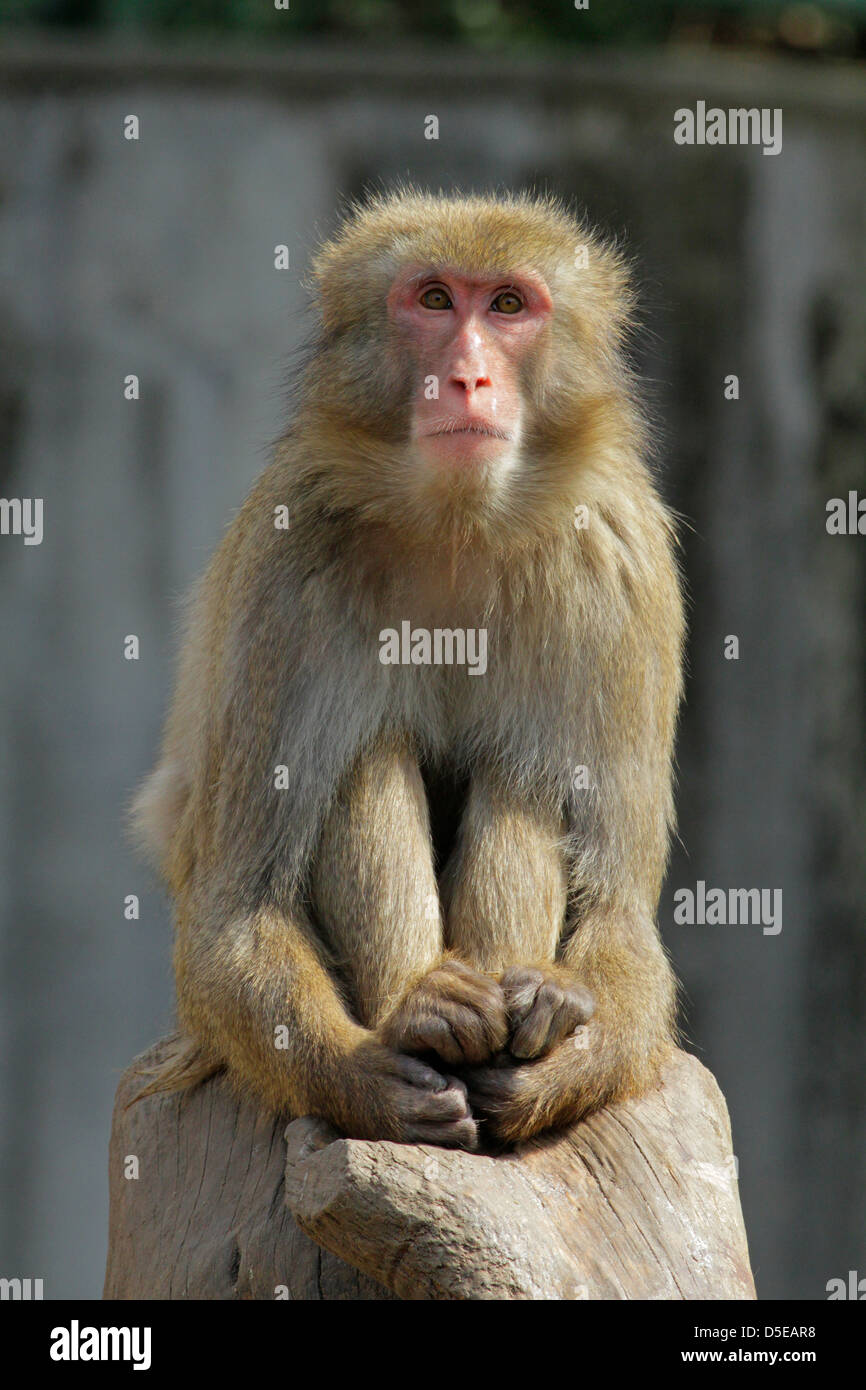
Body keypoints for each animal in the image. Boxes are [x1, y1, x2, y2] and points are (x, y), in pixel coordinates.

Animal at [132, 193, 683, 1150]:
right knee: (364, 755)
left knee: (525, 772)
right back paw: (427, 1015)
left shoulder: (622, 562)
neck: (459, 526)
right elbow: (232, 919)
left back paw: (506, 1026)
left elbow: (621, 920)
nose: (466, 379)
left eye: (508, 305)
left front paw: (557, 1043)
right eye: (433, 300)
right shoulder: (288, 557)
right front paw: (365, 1077)